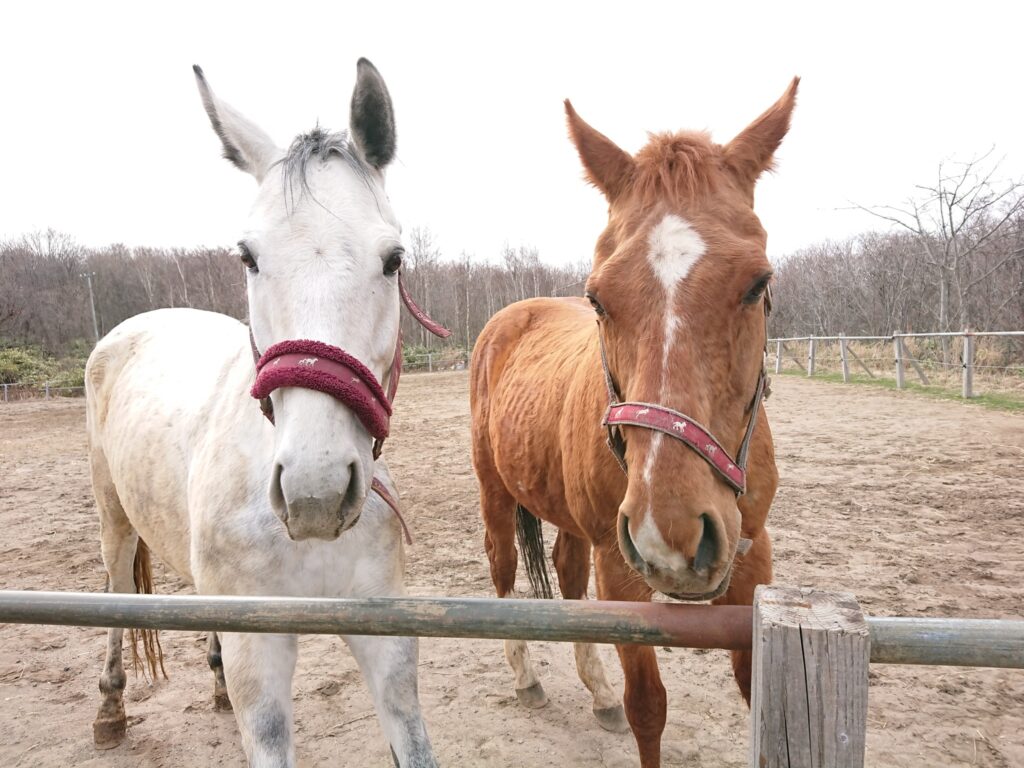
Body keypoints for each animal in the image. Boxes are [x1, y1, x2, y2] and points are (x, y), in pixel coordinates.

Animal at [87, 60, 436, 768]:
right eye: (248, 256)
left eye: (394, 260)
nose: (315, 492)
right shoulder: (263, 649)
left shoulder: (383, 631)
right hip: (114, 516)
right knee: (115, 584)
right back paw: (111, 707)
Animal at [471, 81, 798, 765]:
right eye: (598, 297)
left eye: (758, 283)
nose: (670, 534)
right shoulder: (621, 569)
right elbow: (647, 708)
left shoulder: (753, 555)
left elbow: (756, 689)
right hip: (497, 494)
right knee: (503, 570)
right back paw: (527, 678)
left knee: (567, 577)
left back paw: (594, 691)